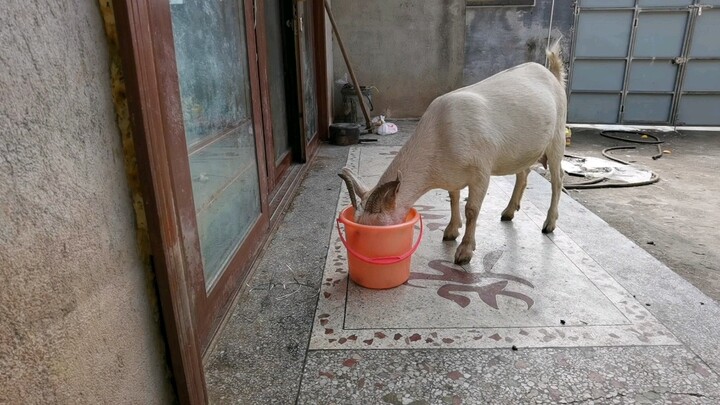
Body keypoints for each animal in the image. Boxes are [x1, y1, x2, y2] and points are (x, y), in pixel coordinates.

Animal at [339, 41, 567, 265]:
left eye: (376, 230)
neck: (439, 133)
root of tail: (552, 73)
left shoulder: (481, 172)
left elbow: (472, 210)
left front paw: (464, 252)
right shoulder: (451, 173)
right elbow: (453, 198)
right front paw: (450, 230)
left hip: (557, 137)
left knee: (557, 180)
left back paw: (549, 223)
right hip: (523, 150)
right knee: (523, 174)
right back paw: (509, 211)